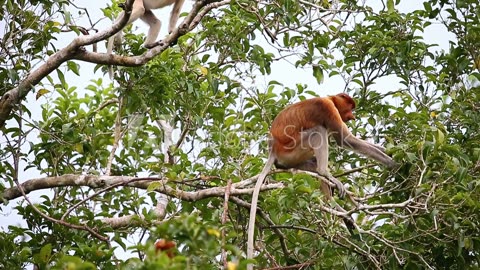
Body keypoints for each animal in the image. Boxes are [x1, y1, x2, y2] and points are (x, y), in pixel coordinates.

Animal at [246, 93, 396, 268]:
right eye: (350, 107)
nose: (352, 116)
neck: (330, 98)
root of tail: (273, 149)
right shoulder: (328, 108)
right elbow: (345, 139)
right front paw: (394, 163)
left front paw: (393, 150)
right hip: (292, 149)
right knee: (318, 131)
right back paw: (326, 175)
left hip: (294, 158)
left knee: (313, 166)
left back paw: (339, 209)